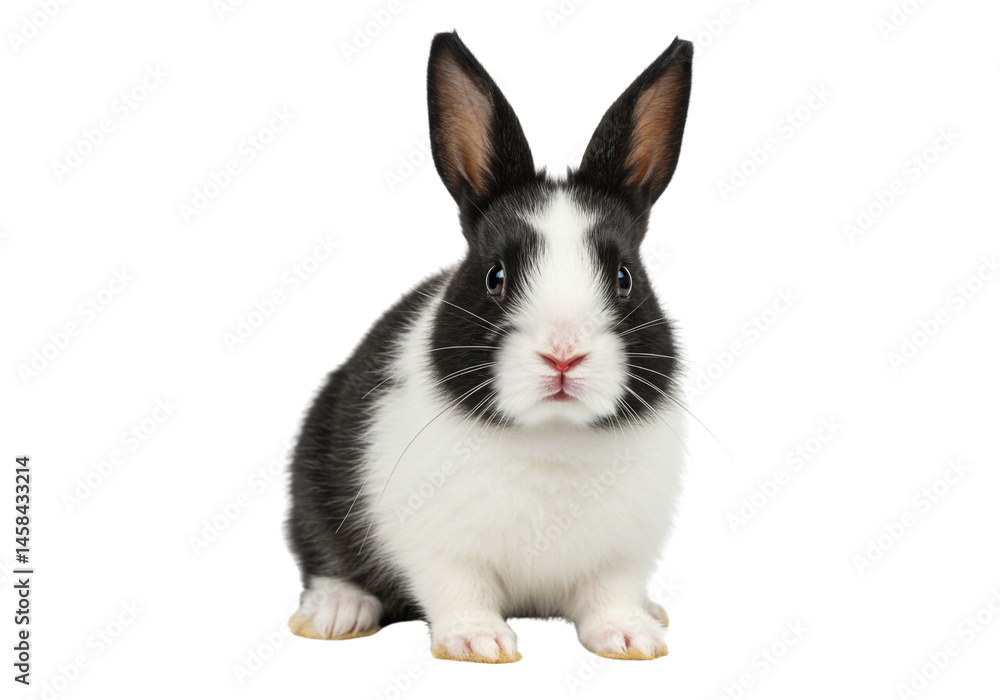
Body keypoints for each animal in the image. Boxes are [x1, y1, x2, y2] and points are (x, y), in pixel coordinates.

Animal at [286, 30, 692, 663]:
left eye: (625, 279)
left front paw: (631, 638)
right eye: (496, 277)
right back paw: (336, 614)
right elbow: (459, 589)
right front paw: (479, 643)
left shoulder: (622, 554)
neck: (552, 435)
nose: (562, 354)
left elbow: (611, 594)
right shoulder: (438, 547)